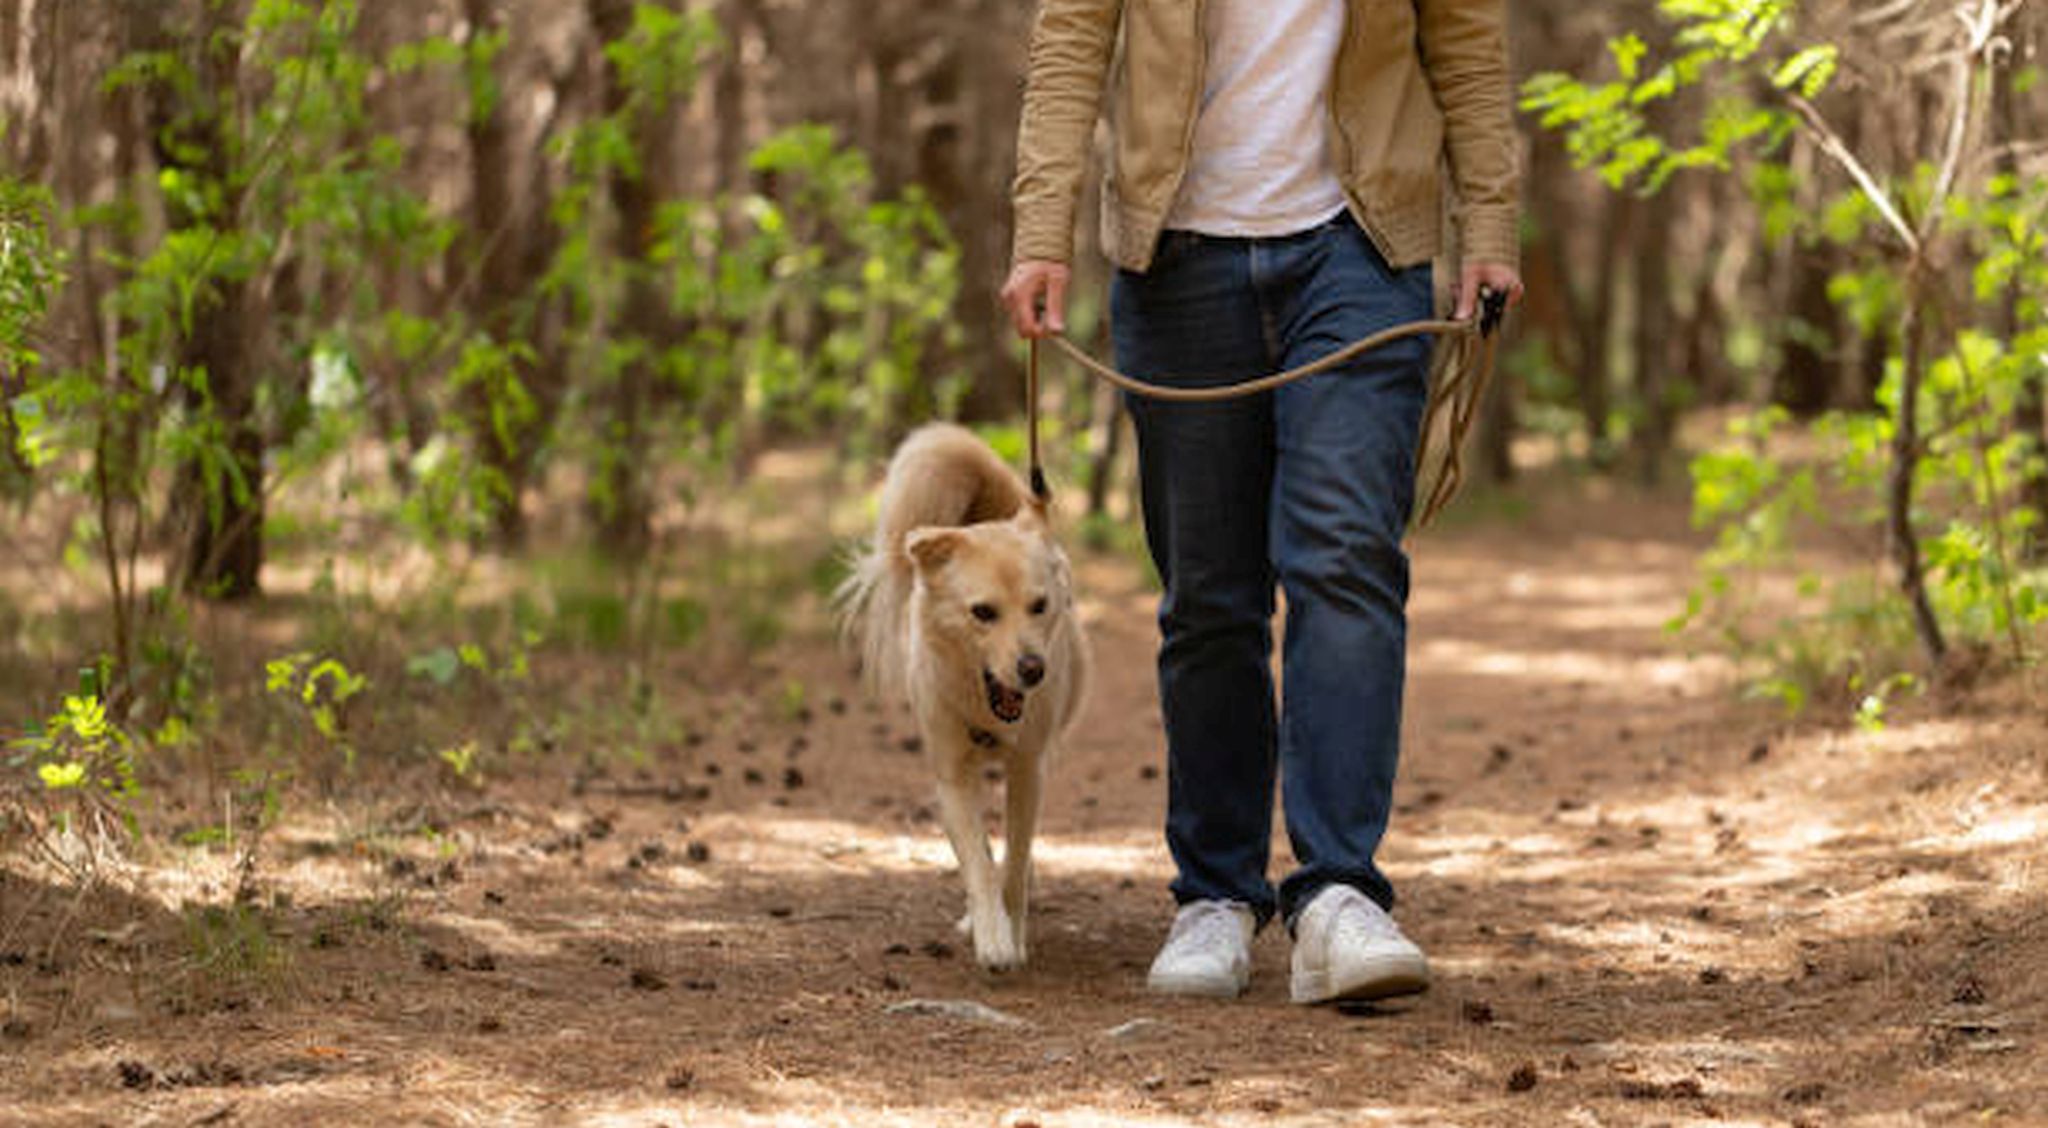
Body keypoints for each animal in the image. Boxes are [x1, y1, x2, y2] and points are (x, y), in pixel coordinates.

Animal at [835, 423, 1089, 970]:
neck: (983, 705)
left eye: (1039, 605)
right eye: (983, 612)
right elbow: (977, 859)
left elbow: (1014, 862)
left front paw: (1012, 930)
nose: (1033, 670)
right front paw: (991, 935)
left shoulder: (1028, 769)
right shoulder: (951, 776)